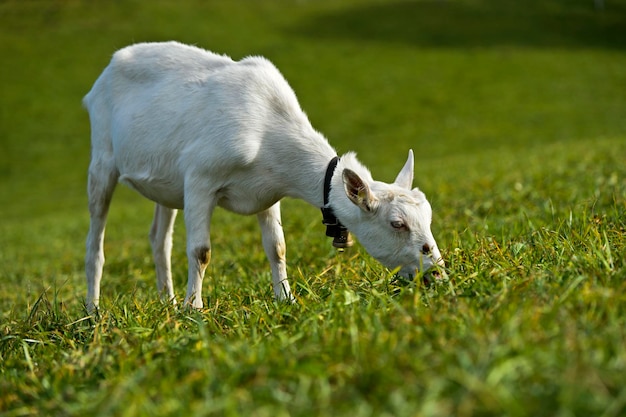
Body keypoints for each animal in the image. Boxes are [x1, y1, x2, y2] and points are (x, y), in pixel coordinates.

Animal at [83, 41, 442, 308]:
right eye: (397, 224)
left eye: (428, 216)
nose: (438, 273)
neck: (268, 130)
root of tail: (104, 73)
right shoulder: (199, 179)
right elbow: (201, 251)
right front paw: (194, 310)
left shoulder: (267, 192)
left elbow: (277, 247)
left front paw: (286, 299)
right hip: (102, 157)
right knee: (95, 241)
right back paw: (94, 310)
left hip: (167, 185)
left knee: (159, 239)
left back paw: (166, 302)